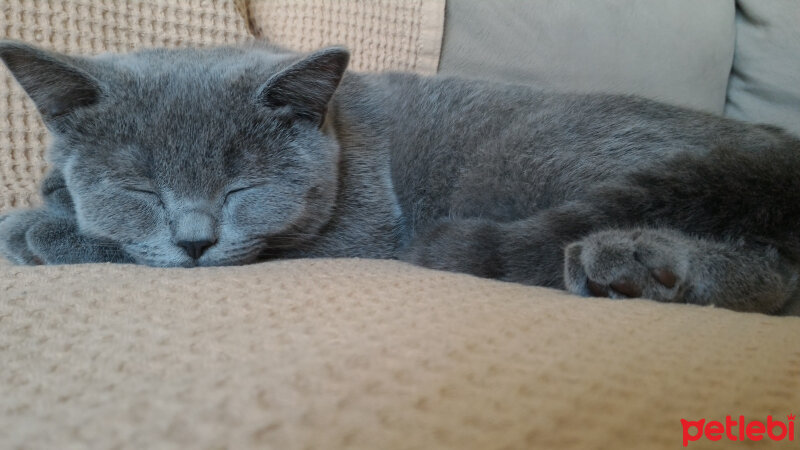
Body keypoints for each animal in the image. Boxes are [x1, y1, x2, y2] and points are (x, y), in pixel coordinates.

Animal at [1, 42, 800, 316]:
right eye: (140, 189)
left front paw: (35, 227)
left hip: (536, 162)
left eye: (243, 190)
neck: (341, 137)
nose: (196, 241)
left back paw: (635, 261)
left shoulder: (360, 230)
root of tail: (775, 141)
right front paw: (50, 198)